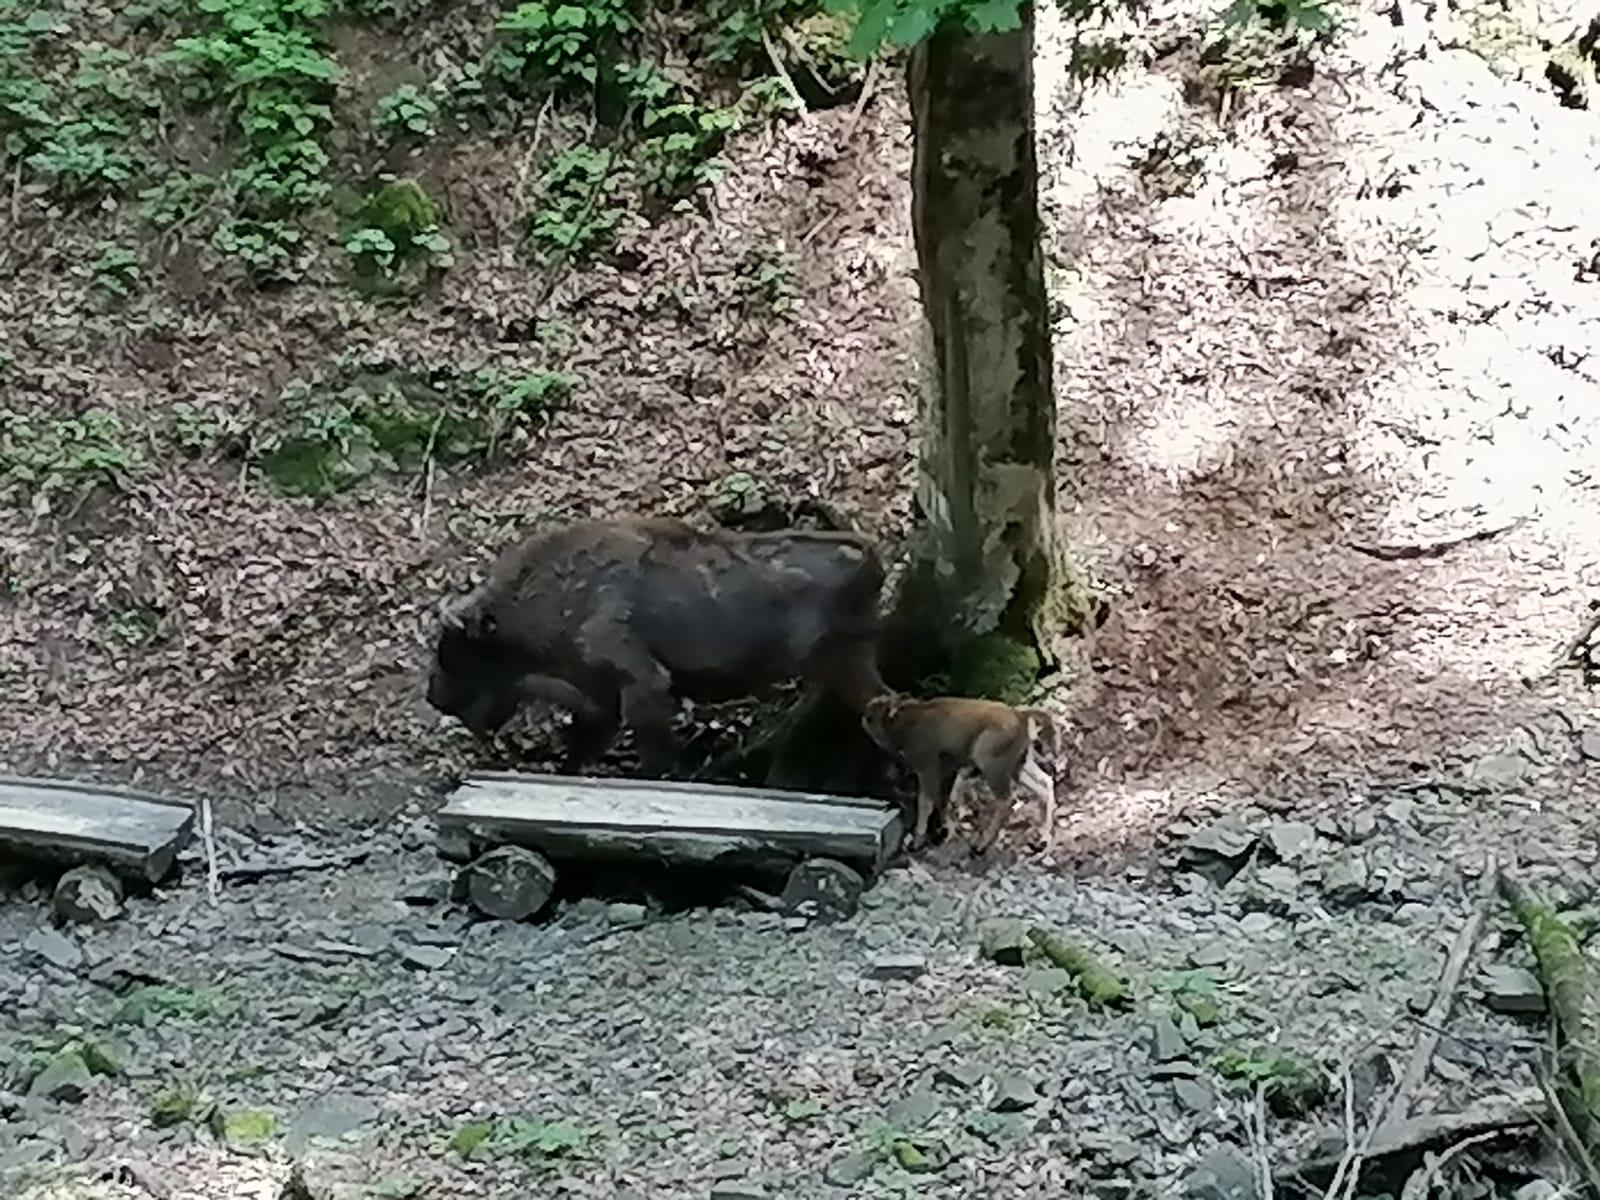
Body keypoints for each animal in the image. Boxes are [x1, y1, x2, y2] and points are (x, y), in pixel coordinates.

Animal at [425, 515, 889, 774]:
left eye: (453, 651)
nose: (434, 697)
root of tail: (869, 555)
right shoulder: (598, 697)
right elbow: (584, 740)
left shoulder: (639, 680)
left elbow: (651, 745)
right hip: (849, 661)